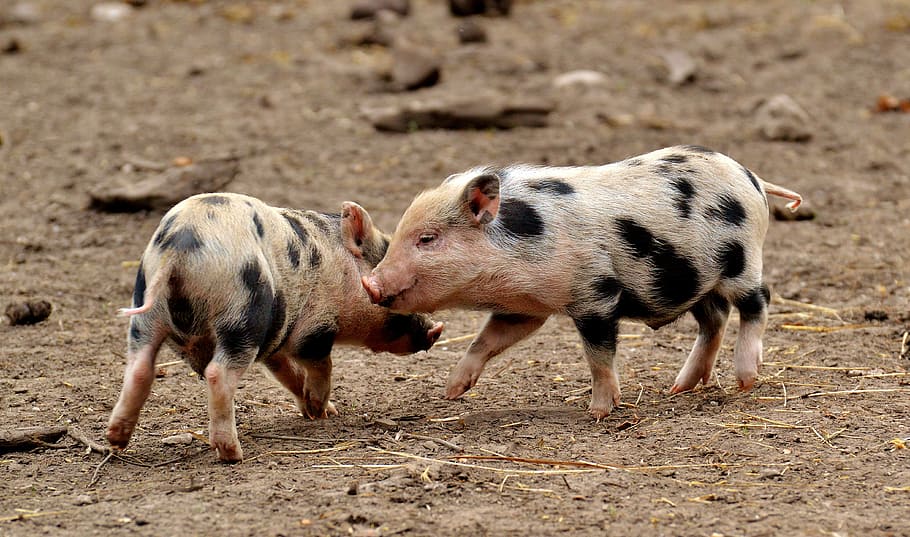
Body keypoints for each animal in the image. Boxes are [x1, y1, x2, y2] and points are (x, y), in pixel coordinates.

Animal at [106, 193, 444, 462]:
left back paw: (116, 440)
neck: (342, 270)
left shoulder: (278, 338)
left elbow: (288, 374)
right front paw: (320, 411)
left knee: (139, 368)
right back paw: (232, 454)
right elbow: (321, 366)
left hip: (146, 310)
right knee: (218, 373)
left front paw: (323, 411)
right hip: (242, 312)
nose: (436, 329)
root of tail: (179, 248)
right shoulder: (315, 328)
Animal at [362, 145, 803, 419]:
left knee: (759, 300)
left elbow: (598, 355)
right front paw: (453, 390)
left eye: (427, 239)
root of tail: (753, 178)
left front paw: (599, 412)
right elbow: (485, 341)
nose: (369, 283)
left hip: (741, 262)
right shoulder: (523, 309)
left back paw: (745, 380)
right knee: (715, 318)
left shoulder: (597, 295)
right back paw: (678, 389)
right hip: (695, 278)